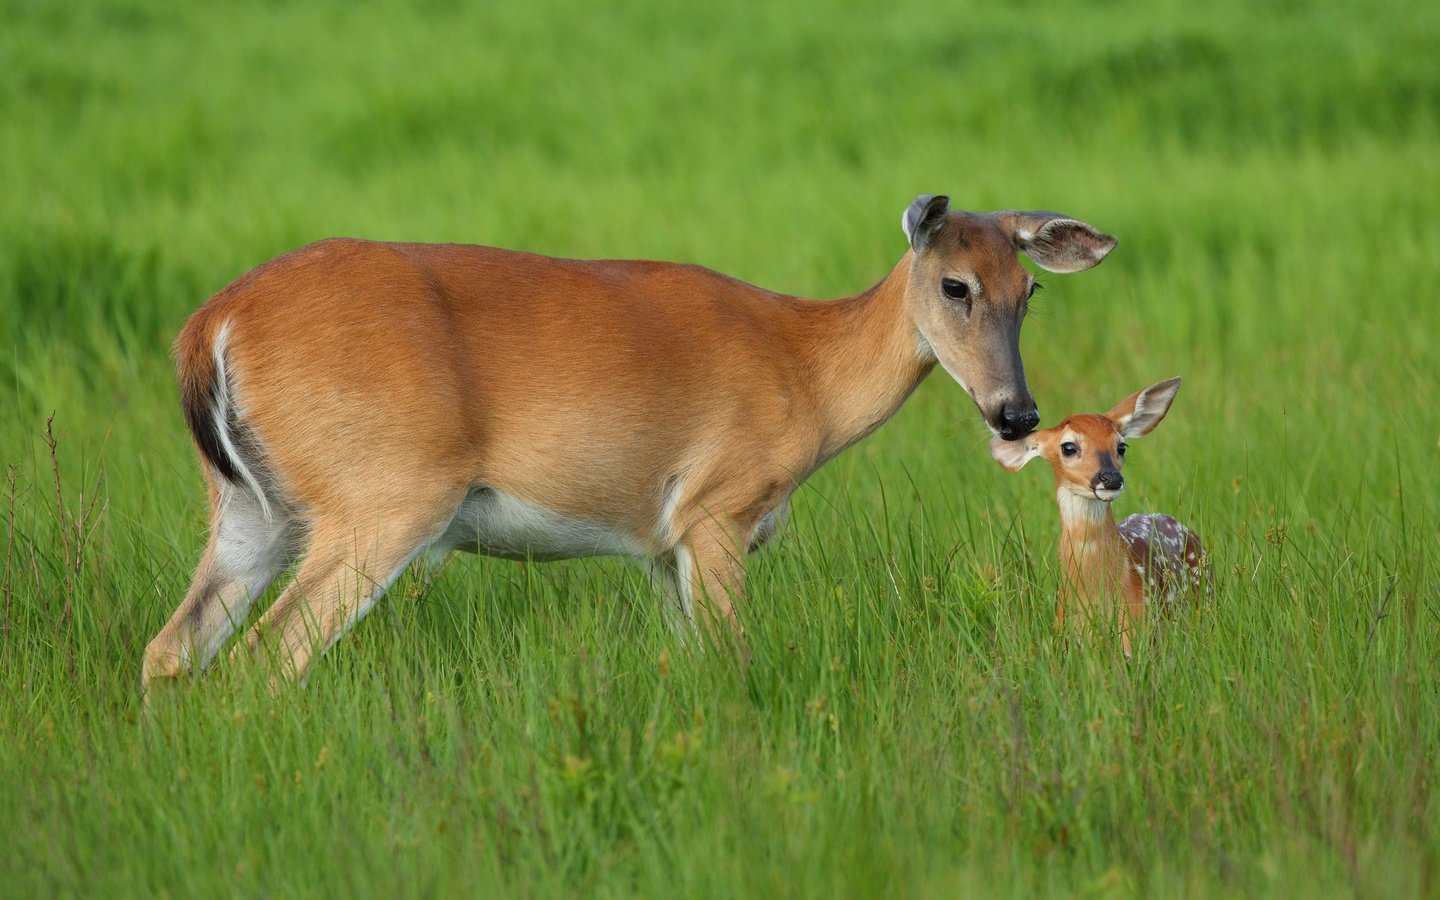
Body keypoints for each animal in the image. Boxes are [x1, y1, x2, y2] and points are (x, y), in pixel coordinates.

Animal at [143, 194, 1111, 688]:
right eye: (954, 285)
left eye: (1028, 291)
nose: (1017, 413)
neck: (806, 370)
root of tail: (211, 324)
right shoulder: (718, 511)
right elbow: (732, 666)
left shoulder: (657, 545)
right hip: (383, 495)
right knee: (266, 661)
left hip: (249, 507)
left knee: (172, 649)